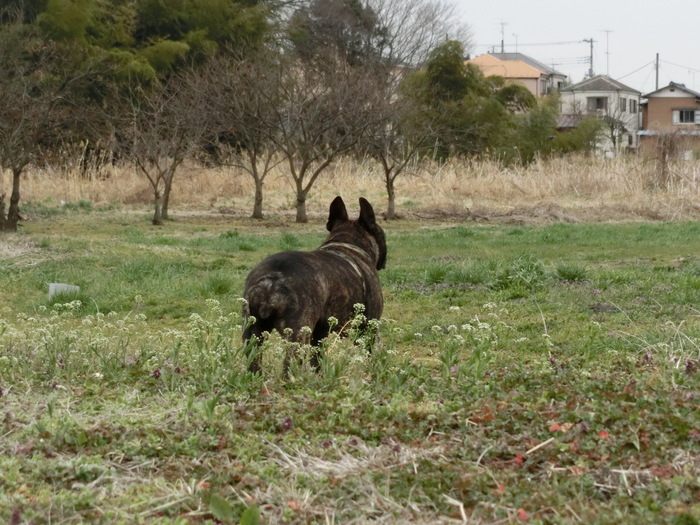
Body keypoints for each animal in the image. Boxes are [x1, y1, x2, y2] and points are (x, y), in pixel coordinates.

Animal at [242, 196, 388, 372]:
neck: (347, 243)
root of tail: (272, 280)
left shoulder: (319, 334)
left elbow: (317, 359)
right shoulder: (369, 330)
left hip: (252, 332)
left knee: (254, 360)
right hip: (298, 335)